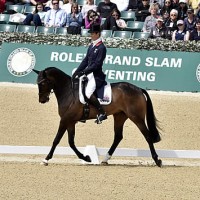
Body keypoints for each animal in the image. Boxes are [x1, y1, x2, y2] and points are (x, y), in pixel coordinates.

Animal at [33, 67, 162, 167]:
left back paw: (157, 160)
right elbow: (71, 142)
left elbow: (56, 140)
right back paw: (105, 159)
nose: (42, 100)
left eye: (42, 83)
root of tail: (139, 89)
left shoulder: (65, 120)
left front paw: (46, 159)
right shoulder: (70, 121)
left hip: (136, 117)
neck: (68, 92)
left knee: (147, 136)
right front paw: (86, 157)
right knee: (118, 137)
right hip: (120, 116)